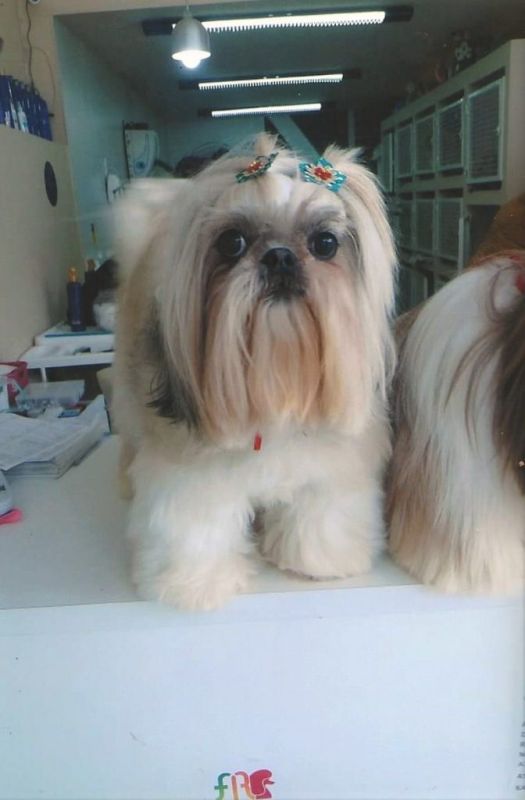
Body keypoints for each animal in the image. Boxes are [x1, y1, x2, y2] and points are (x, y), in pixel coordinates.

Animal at [113, 134, 397, 610]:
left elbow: (322, 514)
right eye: (232, 242)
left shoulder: (329, 471)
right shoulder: (191, 480)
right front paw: (194, 584)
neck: (274, 385)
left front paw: (323, 560)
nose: (279, 257)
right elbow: (195, 530)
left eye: (324, 243)